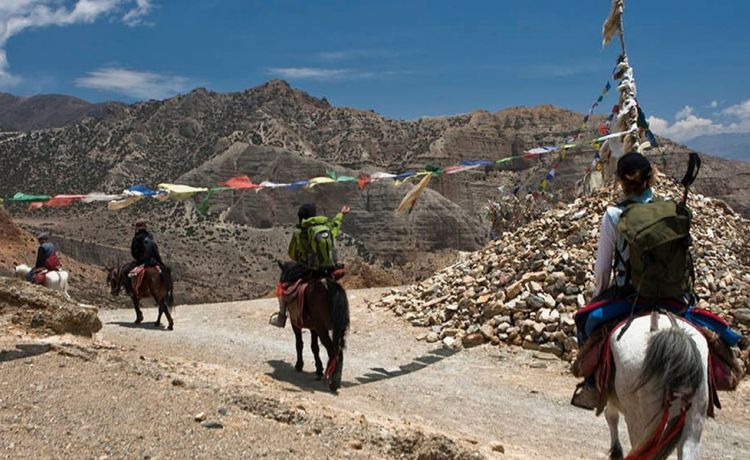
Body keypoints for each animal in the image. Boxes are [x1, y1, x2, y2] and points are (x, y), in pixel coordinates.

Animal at [280, 262, 352, 392]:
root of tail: (330, 286)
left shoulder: (295, 323)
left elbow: (299, 344)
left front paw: (299, 365)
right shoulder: (314, 328)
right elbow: (314, 347)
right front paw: (319, 369)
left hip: (323, 330)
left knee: (333, 352)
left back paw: (333, 383)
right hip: (338, 329)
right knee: (339, 352)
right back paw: (337, 381)